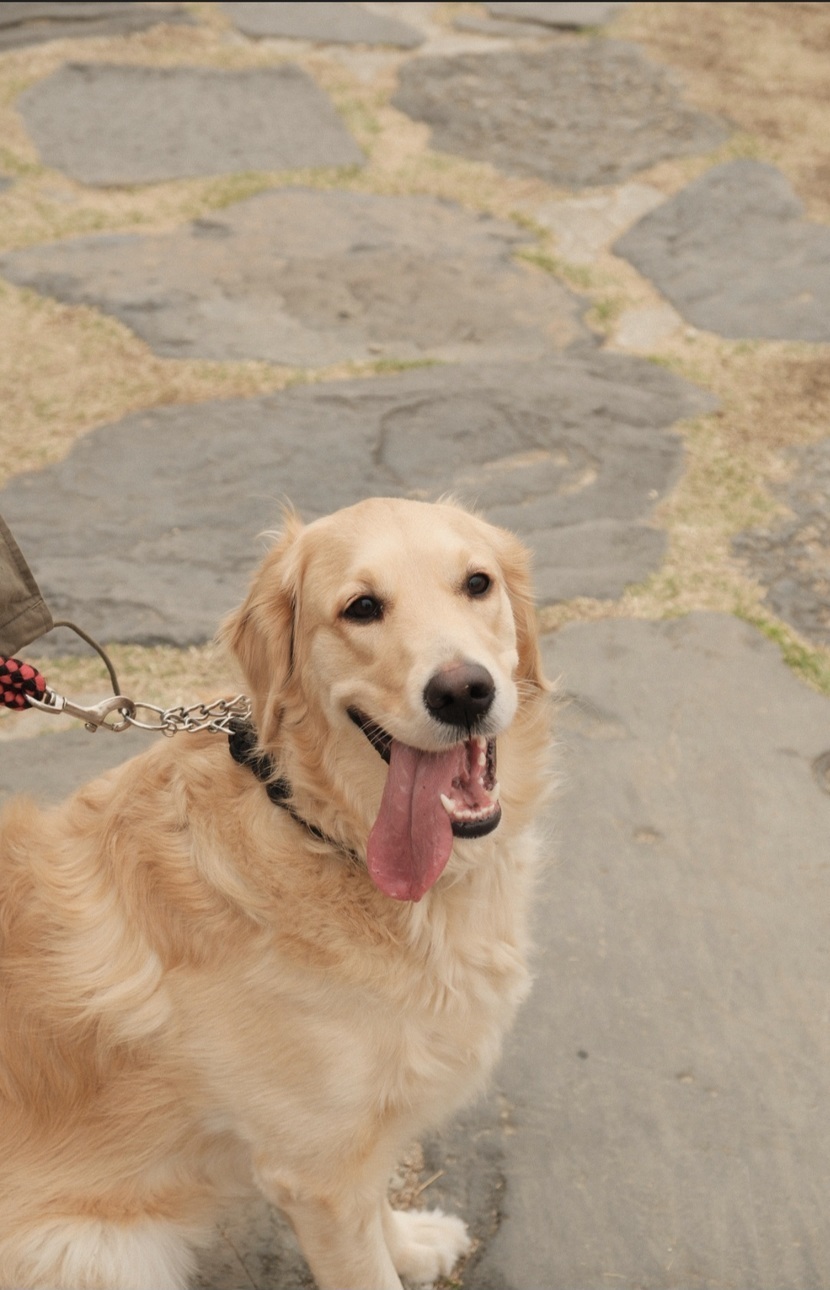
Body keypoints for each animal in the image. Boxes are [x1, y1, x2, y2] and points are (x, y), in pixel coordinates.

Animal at [0, 497, 551, 1290]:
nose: (463, 691)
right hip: (101, 1249)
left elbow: (377, 1203)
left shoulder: (351, 1148)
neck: (322, 828)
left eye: (477, 583)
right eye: (361, 608)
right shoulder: (314, 1172)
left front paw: (411, 1242)